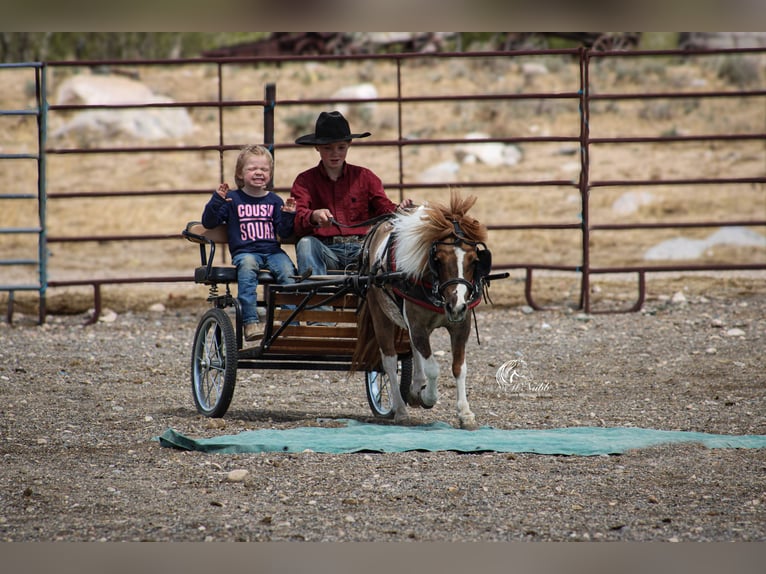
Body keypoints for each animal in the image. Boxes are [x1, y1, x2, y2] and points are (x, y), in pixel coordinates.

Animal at [353, 190, 492, 430]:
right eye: (438, 259)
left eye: (475, 260)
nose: (456, 306)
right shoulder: (417, 324)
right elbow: (433, 367)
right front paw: (428, 397)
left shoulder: (461, 326)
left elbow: (459, 367)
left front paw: (465, 413)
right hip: (380, 313)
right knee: (389, 361)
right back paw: (400, 409)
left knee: (414, 350)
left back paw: (415, 387)